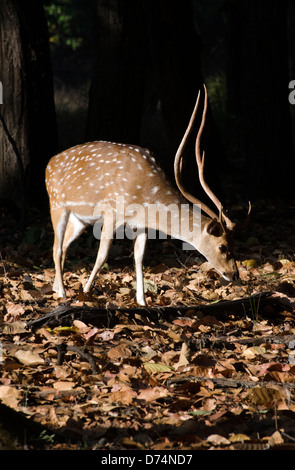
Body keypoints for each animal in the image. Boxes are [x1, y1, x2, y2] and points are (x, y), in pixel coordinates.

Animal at [46, 85, 240, 304]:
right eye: (222, 246)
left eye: (235, 244)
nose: (234, 274)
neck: (147, 198)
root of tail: (48, 164)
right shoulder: (112, 212)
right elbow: (102, 255)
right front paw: (85, 293)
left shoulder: (141, 225)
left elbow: (139, 258)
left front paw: (142, 301)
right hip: (57, 204)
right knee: (56, 248)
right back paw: (62, 293)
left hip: (80, 219)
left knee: (64, 246)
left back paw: (56, 287)